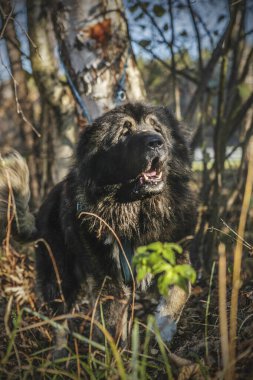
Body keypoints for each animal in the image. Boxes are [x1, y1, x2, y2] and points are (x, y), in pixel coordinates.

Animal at [0, 102, 197, 352]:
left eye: (157, 128)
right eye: (125, 132)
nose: (156, 142)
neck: (136, 213)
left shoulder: (175, 256)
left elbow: (177, 294)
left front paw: (162, 331)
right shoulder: (109, 278)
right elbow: (111, 323)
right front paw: (113, 356)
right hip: (59, 277)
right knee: (61, 321)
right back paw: (61, 355)